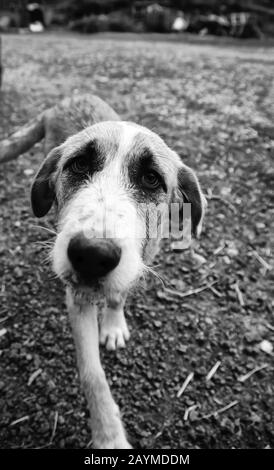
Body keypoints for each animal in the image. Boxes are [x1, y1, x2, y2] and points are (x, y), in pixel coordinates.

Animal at [0, 94, 206, 448]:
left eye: (151, 178)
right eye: (79, 164)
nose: (92, 254)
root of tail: (71, 97)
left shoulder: (138, 260)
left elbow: (118, 294)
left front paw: (113, 323)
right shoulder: (79, 298)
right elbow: (92, 374)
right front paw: (109, 436)